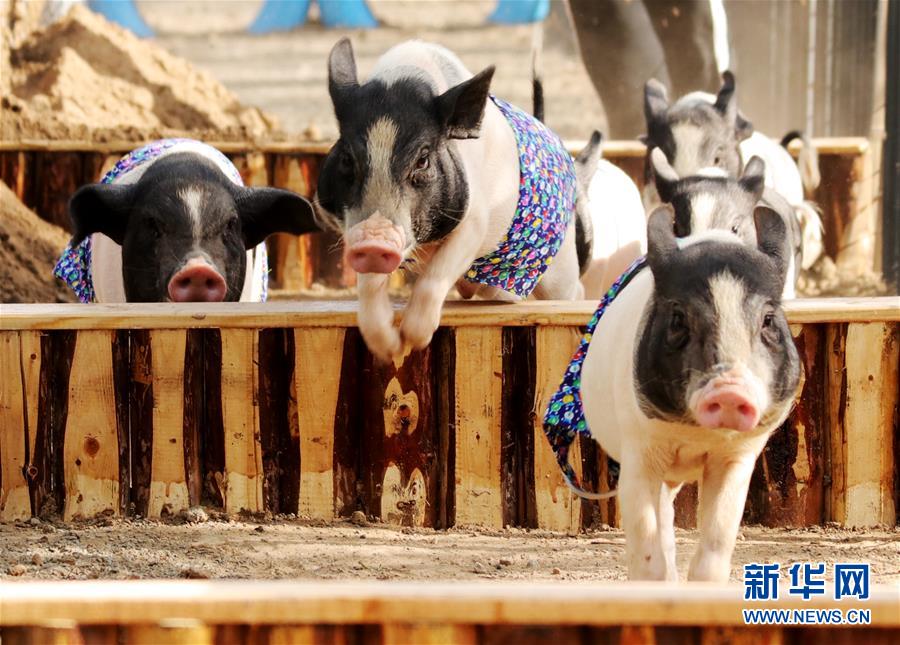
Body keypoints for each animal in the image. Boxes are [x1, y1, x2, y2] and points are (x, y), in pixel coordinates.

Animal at [314, 39, 584, 362]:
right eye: (346, 158)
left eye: (423, 160)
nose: (374, 241)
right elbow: (369, 284)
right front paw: (391, 349)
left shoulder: (475, 221)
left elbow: (436, 276)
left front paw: (413, 341)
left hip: (560, 266)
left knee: (573, 290)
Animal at [540, 208, 800, 584]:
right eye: (678, 319)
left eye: (768, 319)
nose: (729, 390)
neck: (695, 434)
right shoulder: (638, 449)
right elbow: (647, 552)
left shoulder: (740, 453)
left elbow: (716, 544)